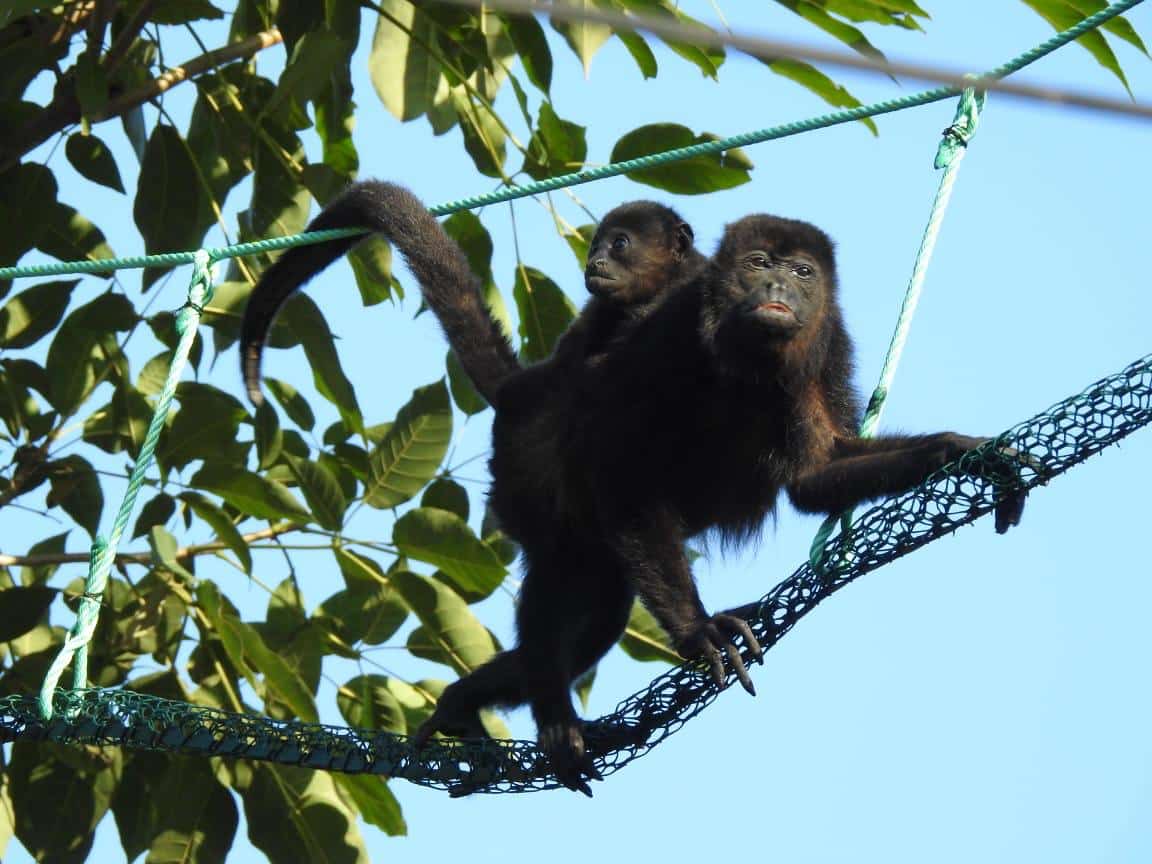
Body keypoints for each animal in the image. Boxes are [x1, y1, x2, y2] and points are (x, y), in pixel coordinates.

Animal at [414, 212, 1028, 796]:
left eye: (802, 272)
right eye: (759, 263)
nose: (779, 284)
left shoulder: (829, 344)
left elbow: (813, 476)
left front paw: (966, 454)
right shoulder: (669, 332)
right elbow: (616, 464)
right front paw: (699, 630)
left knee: (598, 621)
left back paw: (465, 700)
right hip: (524, 477)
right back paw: (551, 712)